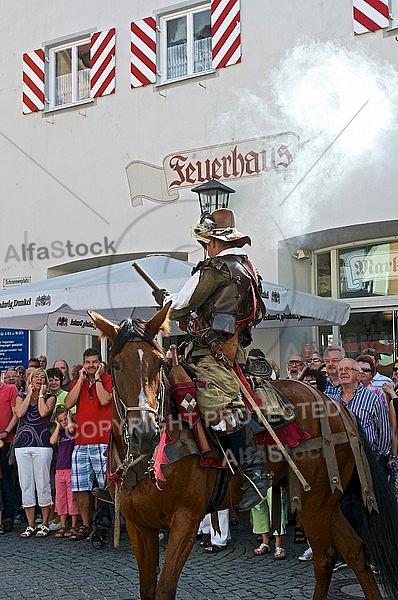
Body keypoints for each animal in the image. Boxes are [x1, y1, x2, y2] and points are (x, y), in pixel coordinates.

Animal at [89, 308, 398, 600]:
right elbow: (147, 589)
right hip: (326, 502)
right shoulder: (139, 526)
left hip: (314, 502)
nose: (144, 432)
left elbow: (165, 589)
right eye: (115, 364)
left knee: (325, 557)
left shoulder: (186, 520)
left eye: (160, 363)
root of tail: (336, 405)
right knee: (354, 551)